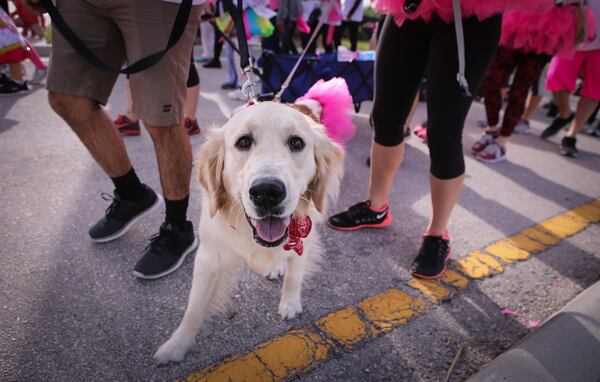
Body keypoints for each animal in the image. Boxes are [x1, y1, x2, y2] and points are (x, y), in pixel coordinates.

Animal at [155, 99, 346, 364]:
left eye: (296, 142)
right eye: (243, 142)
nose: (267, 192)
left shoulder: (303, 240)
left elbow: (294, 277)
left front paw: (290, 304)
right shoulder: (208, 256)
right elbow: (194, 308)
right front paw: (177, 344)